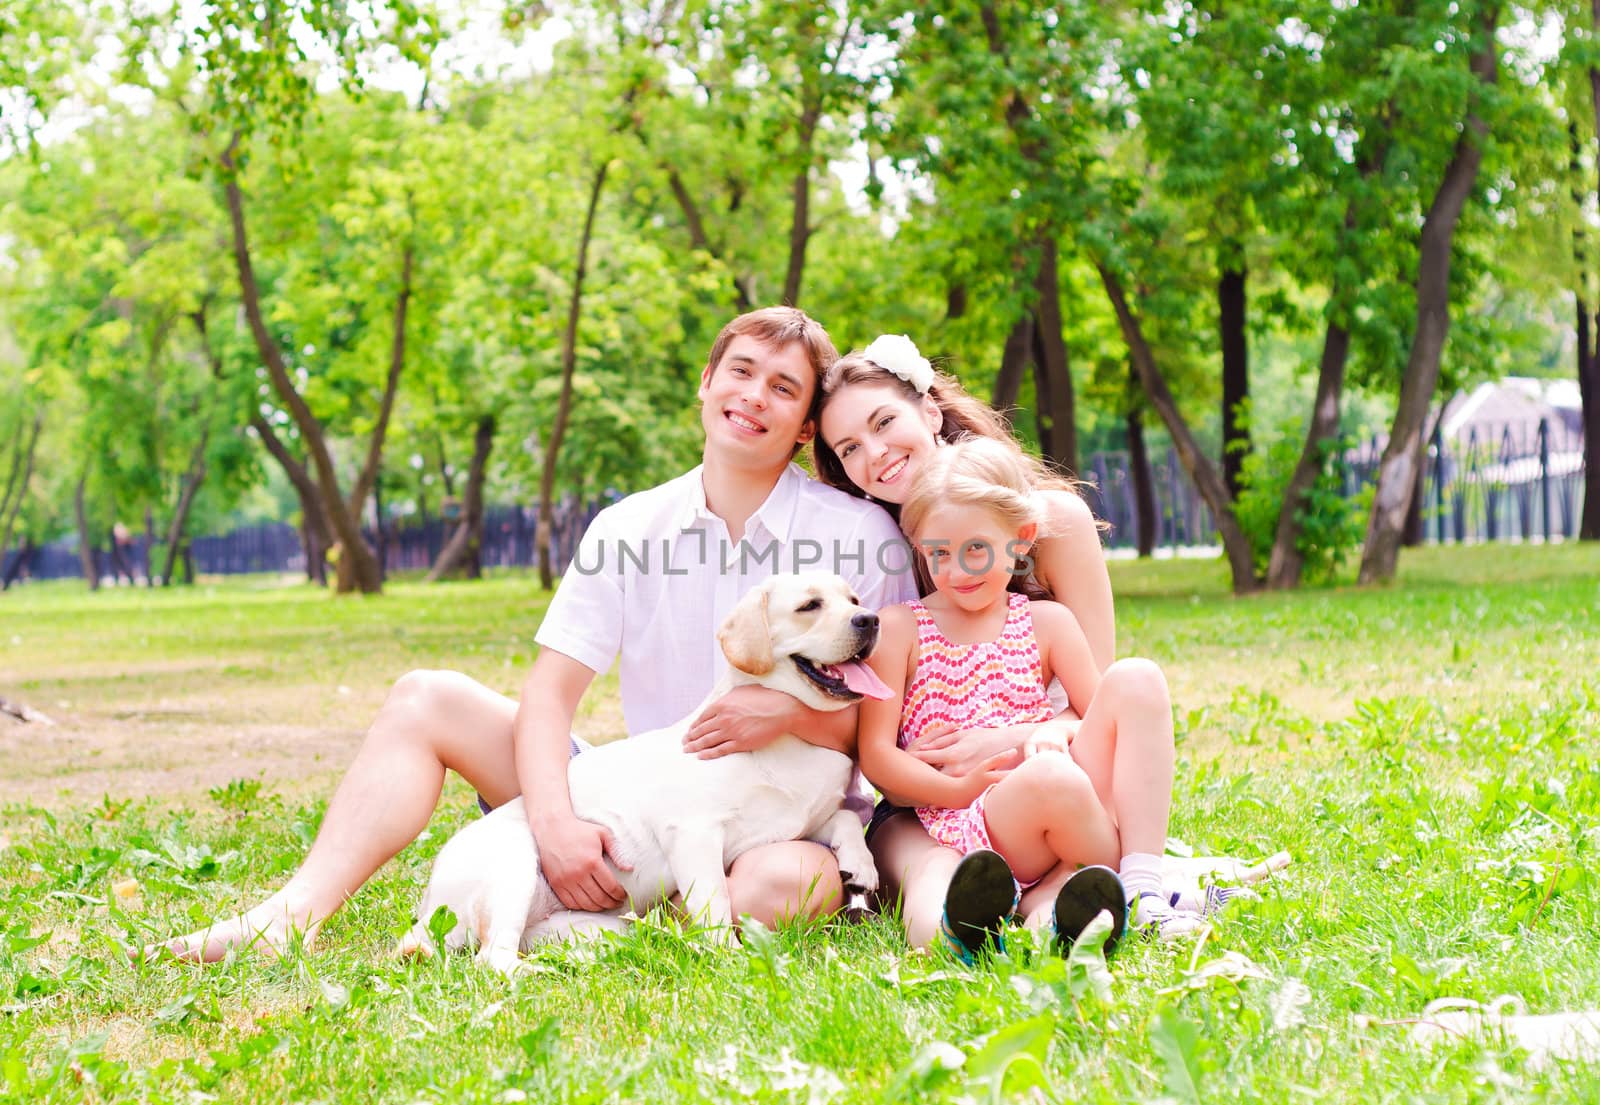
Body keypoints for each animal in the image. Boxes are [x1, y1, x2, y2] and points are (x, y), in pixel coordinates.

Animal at [398, 575, 889, 972]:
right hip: (513, 867)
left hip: (594, 925)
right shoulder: (693, 833)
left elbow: (846, 818)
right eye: (810, 605)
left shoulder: (799, 821)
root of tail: (426, 911)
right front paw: (731, 958)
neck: (788, 740)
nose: (870, 618)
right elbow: (715, 902)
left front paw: (861, 866)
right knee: (491, 959)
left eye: (853, 598)